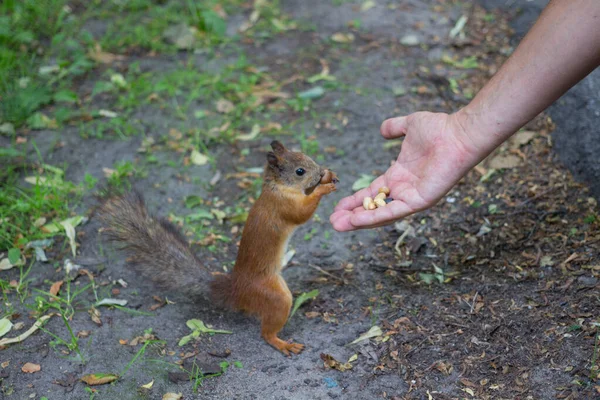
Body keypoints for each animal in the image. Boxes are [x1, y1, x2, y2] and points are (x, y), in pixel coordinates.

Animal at [101, 141, 340, 356]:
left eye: (307, 156)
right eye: (300, 171)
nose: (320, 172)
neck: (277, 187)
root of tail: (237, 290)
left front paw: (329, 175)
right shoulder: (285, 206)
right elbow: (302, 212)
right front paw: (324, 187)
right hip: (274, 296)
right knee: (266, 333)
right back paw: (282, 344)